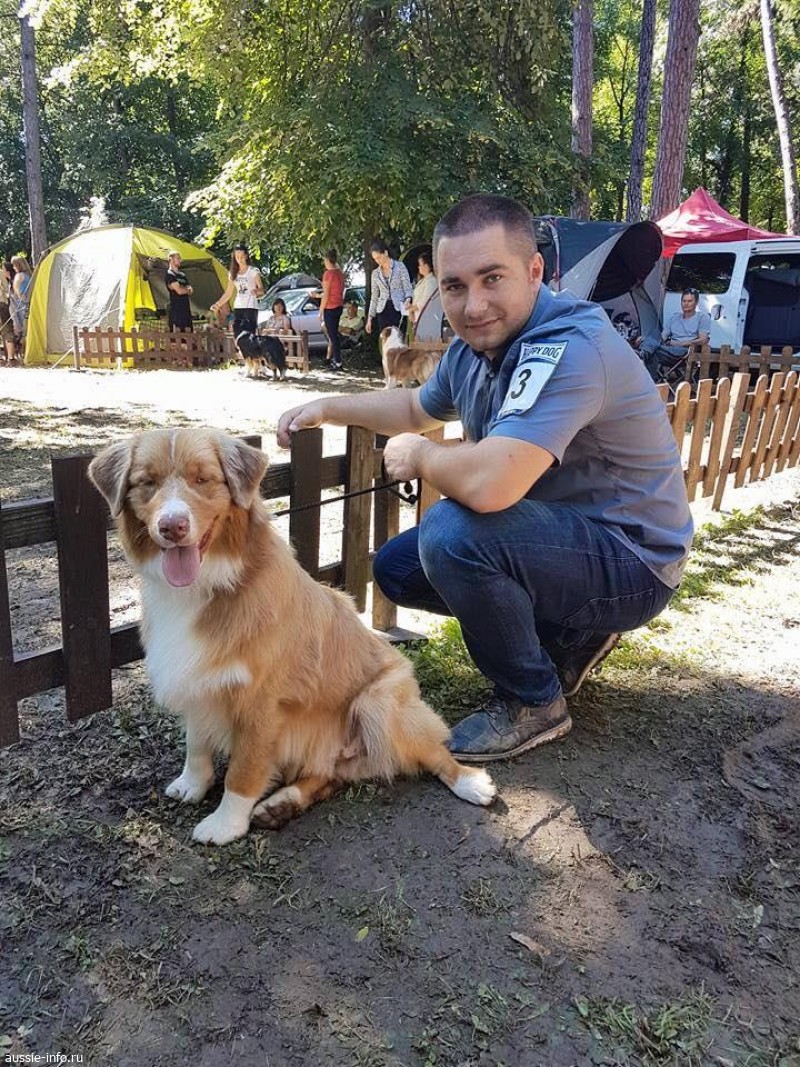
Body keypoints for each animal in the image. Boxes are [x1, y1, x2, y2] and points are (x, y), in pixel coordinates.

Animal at [88, 429, 496, 845]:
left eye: (203, 479)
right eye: (147, 482)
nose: (173, 526)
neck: (212, 583)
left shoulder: (262, 702)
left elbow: (243, 770)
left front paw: (226, 824)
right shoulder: (201, 679)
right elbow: (196, 741)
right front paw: (193, 783)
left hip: (379, 704)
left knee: (434, 751)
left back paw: (471, 783)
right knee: (328, 775)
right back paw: (281, 804)